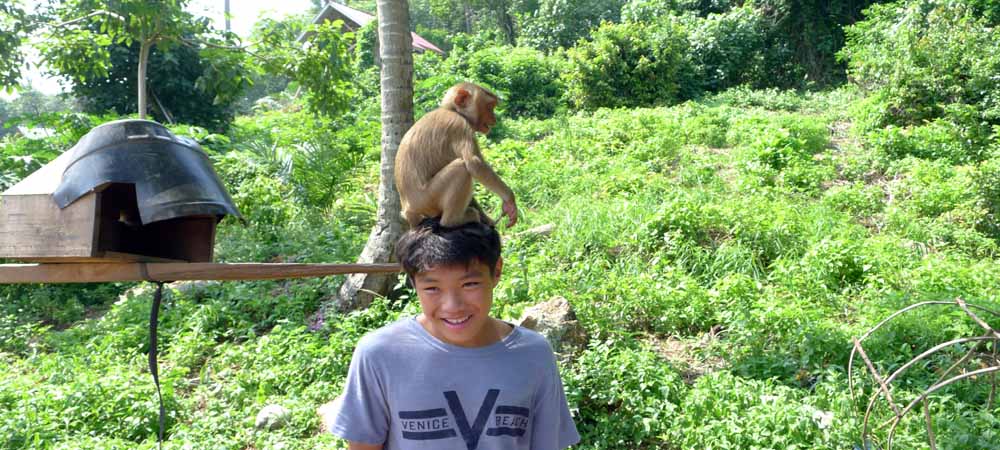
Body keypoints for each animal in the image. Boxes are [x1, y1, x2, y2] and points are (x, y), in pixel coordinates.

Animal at [392, 82, 520, 229]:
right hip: (426, 200)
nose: (494, 119)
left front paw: (488, 219)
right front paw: (510, 202)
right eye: (489, 107)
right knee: (461, 168)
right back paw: (453, 220)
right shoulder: (460, 125)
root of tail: (408, 211)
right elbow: (474, 164)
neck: (453, 111)